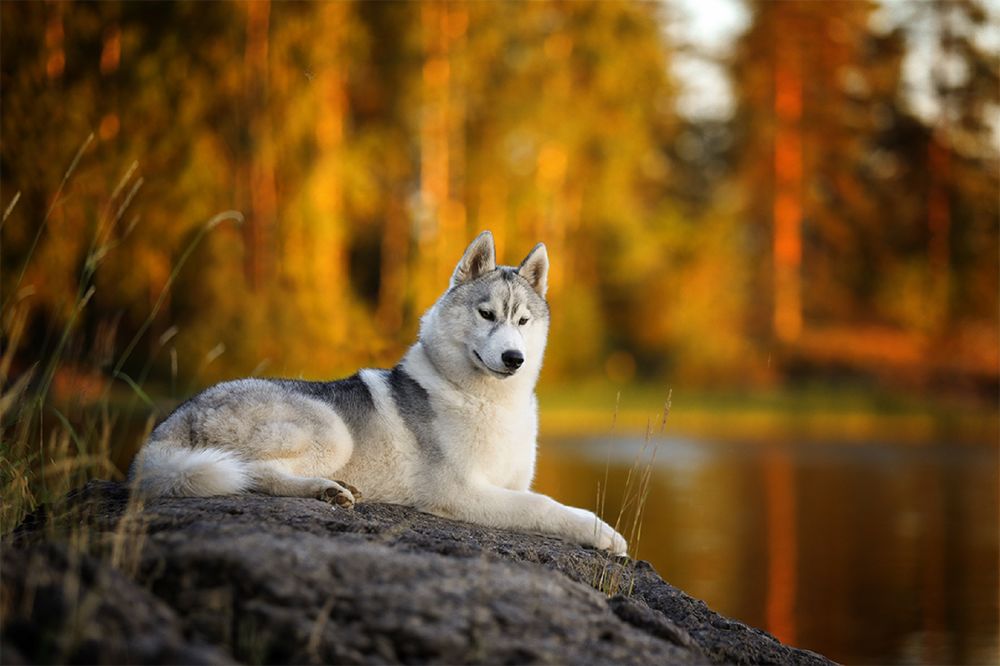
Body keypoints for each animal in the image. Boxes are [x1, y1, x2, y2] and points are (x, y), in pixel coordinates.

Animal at [126, 231, 624, 552]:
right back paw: (326, 489)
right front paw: (602, 533)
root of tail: (171, 423)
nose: (514, 358)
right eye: (486, 314)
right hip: (331, 431)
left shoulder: (507, 483)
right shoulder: (461, 492)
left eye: (523, 321)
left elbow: (536, 496)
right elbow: (545, 505)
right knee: (252, 473)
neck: (486, 401)